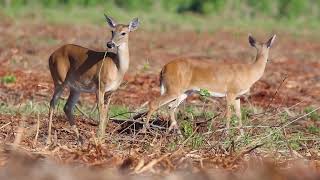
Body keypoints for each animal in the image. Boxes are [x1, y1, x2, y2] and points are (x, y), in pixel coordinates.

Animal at [47, 14, 139, 144]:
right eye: (112, 31)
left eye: (124, 33)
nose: (110, 44)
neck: (117, 68)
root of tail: (51, 56)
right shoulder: (100, 86)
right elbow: (101, 112)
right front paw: (99, 139)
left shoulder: (111, 92)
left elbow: (106, 113)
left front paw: (103, 139)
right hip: (59, 80)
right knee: (53, 103)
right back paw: (48, 139)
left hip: (76, 88)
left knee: (67, 107)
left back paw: (81, 140)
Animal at [144, 33, 276, 135]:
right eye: (269, 46)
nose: (268, 59)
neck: (249, 72)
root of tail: (163, 68)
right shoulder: (230, 93)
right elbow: (229, 114)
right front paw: (227, 135)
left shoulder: (238, 96)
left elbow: (239, 115)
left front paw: (242, 136)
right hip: (173, 89)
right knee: (154, 103)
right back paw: (145, 131)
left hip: (184, 92)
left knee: (171, 107)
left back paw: (178, 134)